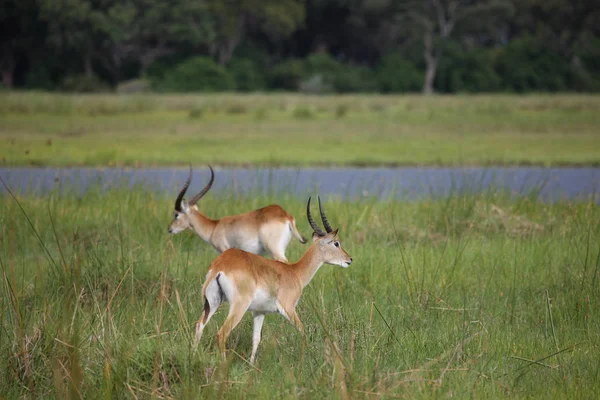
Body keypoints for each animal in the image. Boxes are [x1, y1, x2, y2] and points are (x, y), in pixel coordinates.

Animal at [170, 166, 308, 262]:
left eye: (176, 214)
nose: (170, 229)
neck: (214, 227)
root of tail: (284, 215)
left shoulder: (224, 250)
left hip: (275, 251)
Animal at [192, 195, 352, 364]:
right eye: (336, 243)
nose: (349, 259)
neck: (294, 272)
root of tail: (220, 266)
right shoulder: (288, 308)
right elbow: (302, 332)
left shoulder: (259, 312)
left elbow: (256, 339)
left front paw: (251, 366)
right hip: (238, 306)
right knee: (222, 334)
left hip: (211, 303)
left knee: (199, 326)